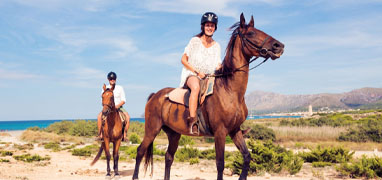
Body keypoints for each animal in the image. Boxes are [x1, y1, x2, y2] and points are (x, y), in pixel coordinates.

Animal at [131, 13, 284, 180]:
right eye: (251, 33)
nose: (279, 46)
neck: (230, 91)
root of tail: (155, 96)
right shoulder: (220, 132)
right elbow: (220, 164)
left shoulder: (235, 131)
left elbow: (247, 157)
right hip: (152, 129)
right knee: (140, 151)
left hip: (174, 134)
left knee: (168, 157)